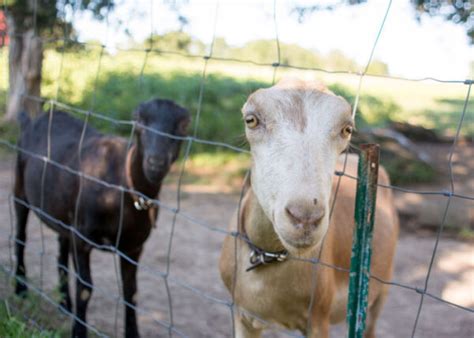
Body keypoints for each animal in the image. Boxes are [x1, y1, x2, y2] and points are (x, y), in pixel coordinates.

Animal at [12, 99, 189, 336]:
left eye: (183, 126)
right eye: (139, 121)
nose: (156, 162)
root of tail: (32, 120)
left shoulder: (133, 247)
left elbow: (131, 292)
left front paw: (132, 333)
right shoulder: (82, 238)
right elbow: (85, 288)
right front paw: (79, 331)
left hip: (63, 214)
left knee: (60, 253)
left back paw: (64, 304)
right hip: (20, 190)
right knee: (20, 237)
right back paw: (21, 289)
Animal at [220, 78, 398, 338]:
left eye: (347, 129)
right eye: (251, 119)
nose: (305, 218)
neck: (267, 255)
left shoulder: (318, 319)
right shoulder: (243, 315)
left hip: (379, 291)